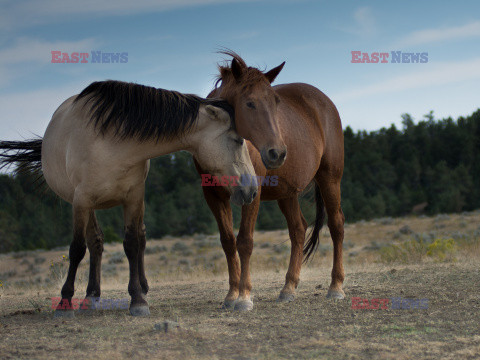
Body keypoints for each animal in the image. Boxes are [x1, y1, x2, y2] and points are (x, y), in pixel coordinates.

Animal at [0, 80, 258, 316]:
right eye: (238, 140)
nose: (253, 189)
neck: (112, 143)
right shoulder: (81, 201)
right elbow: (77, 249)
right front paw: (65, 301)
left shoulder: (133, 198)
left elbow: (133, 244)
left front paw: (138, 300)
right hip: (88, 206)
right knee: (95, 243)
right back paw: (90, 296)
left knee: (136, 239)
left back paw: (134, 288)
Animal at [195, 51, 344, 312]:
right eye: (249, 103)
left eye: (275, 102)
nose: (278, 153)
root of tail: (324, 102)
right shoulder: (213, 195)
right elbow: (228, 242)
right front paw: (231, 294)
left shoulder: (251, 193)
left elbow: (245, 241)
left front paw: (244, 296)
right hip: (287, 192)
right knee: (298, 230)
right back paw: (289, 288)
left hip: (330, 178)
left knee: (336, 225)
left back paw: (336, 287)